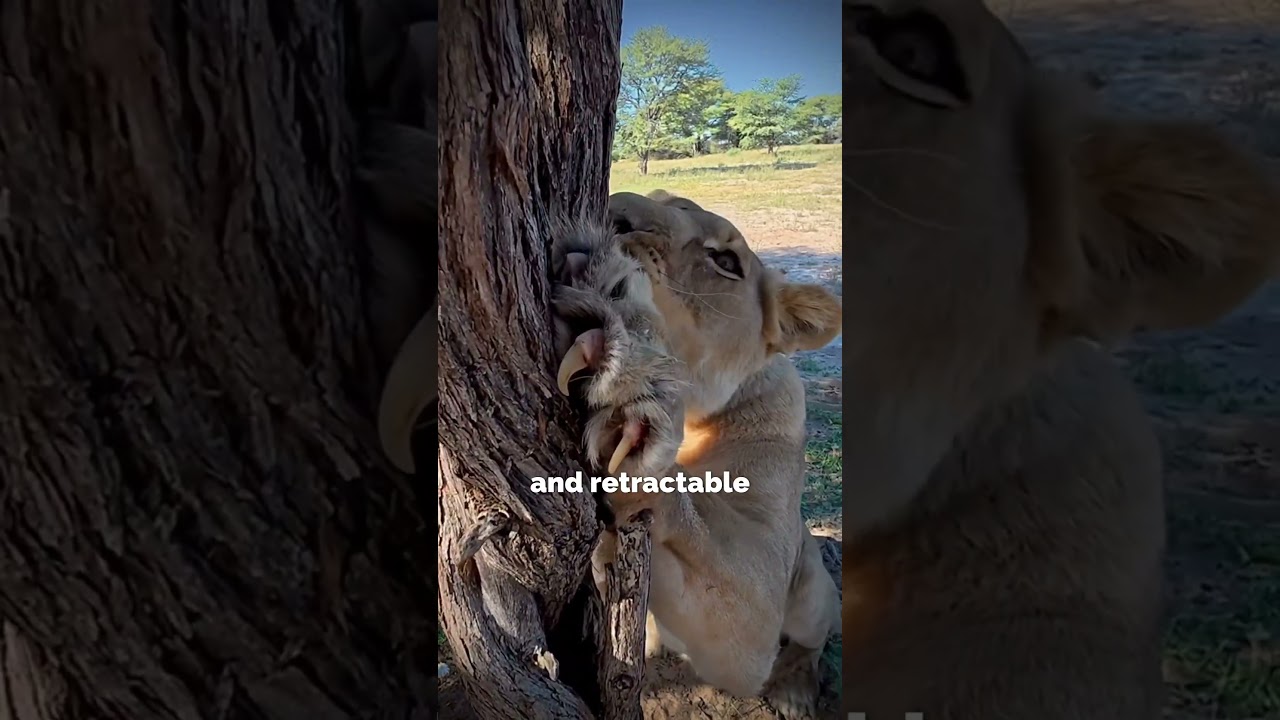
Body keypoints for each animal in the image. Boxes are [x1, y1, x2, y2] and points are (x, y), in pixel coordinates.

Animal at [547, 190, 844, 718]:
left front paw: (630, 412)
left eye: (725, 261)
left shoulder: (755, 623)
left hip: (809, 582)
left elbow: (698, 527)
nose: (616, 213)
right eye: (661, 200)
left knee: (813, 637)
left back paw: (793, 691)